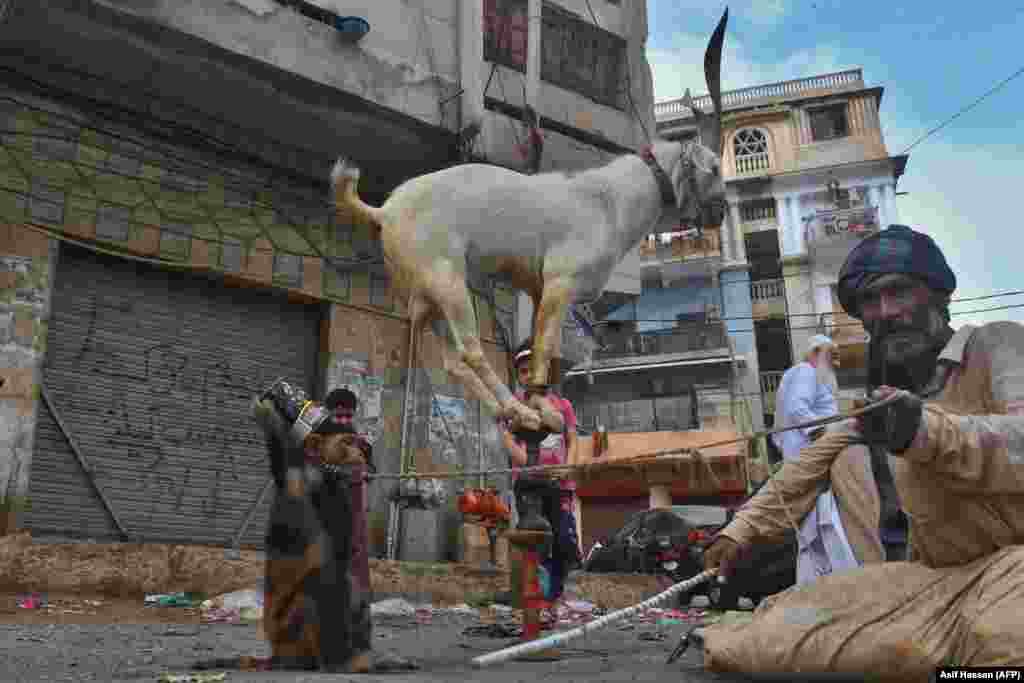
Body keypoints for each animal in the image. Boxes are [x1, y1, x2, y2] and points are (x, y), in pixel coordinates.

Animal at [329, 12, 729, 432]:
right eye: (714, 168)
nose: (719, 213)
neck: (610, 199)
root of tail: (384, 211)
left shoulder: (539, 290)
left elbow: (545, 353)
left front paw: (544, 403)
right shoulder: (559, 282)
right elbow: (545, 348)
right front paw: (542, 407)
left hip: (425, 297)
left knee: (452, 360)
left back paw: (505, 411)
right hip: (447, 279)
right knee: (470, 350)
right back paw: (518, 410)